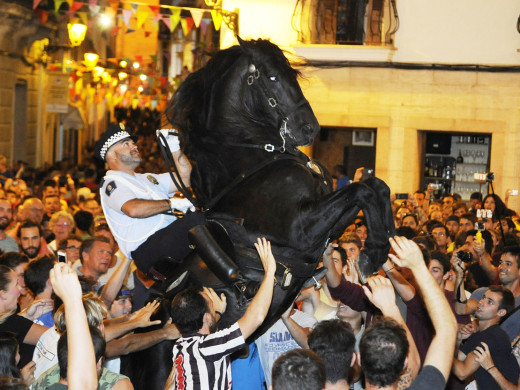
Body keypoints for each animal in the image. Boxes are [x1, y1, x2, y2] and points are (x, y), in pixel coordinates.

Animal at [123, 37, 394, 390]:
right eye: (272, 77)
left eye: (293, 74)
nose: (309, 128)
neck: (253, 162)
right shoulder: (302, 228)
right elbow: (363, 190)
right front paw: (372, 253)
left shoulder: (329, 220)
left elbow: (376, 187)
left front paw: (384, 243)